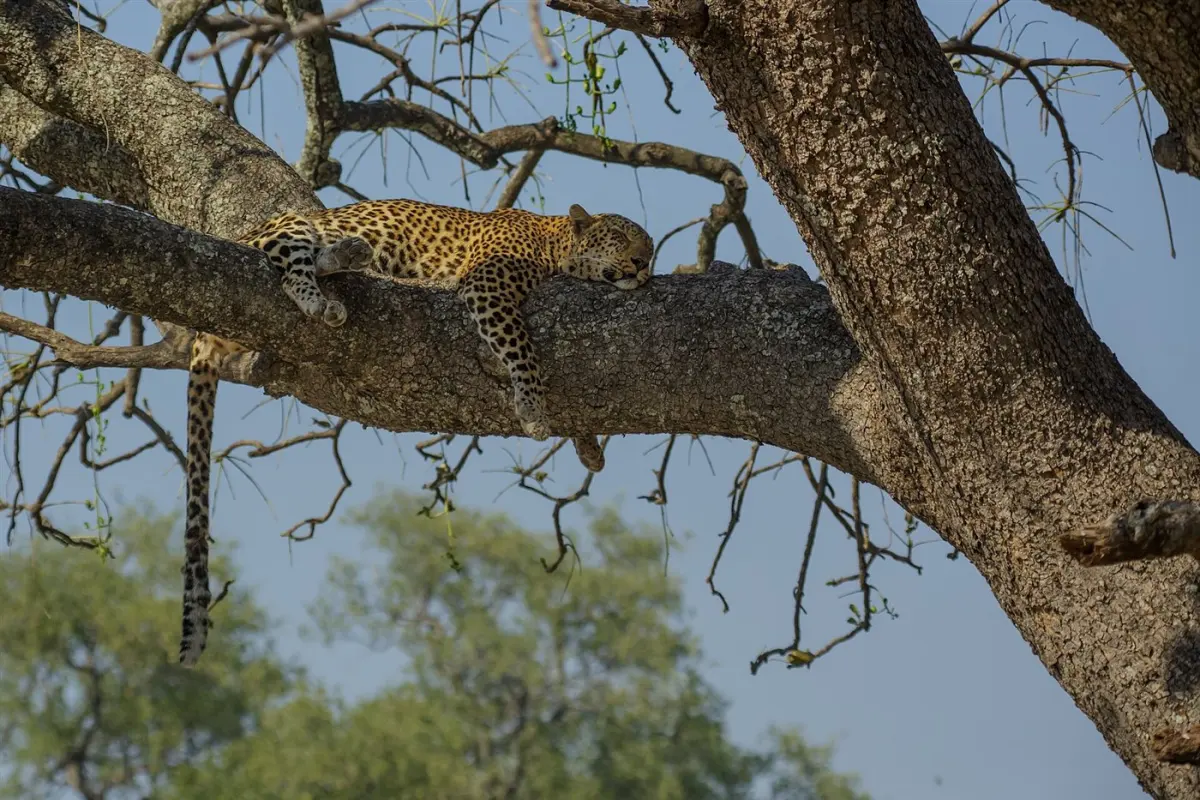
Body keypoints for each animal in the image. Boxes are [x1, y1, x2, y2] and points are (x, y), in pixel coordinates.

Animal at [179, 199, 655, 666]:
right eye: (620, 237)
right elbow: (520, 345)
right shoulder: (489, 284)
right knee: (291, 267)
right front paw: (532, 406)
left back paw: (348, 255)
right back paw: (323, 299)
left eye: (650, 247)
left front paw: (588, 447)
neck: (554, 244)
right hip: (285, 227)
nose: (642, 263)